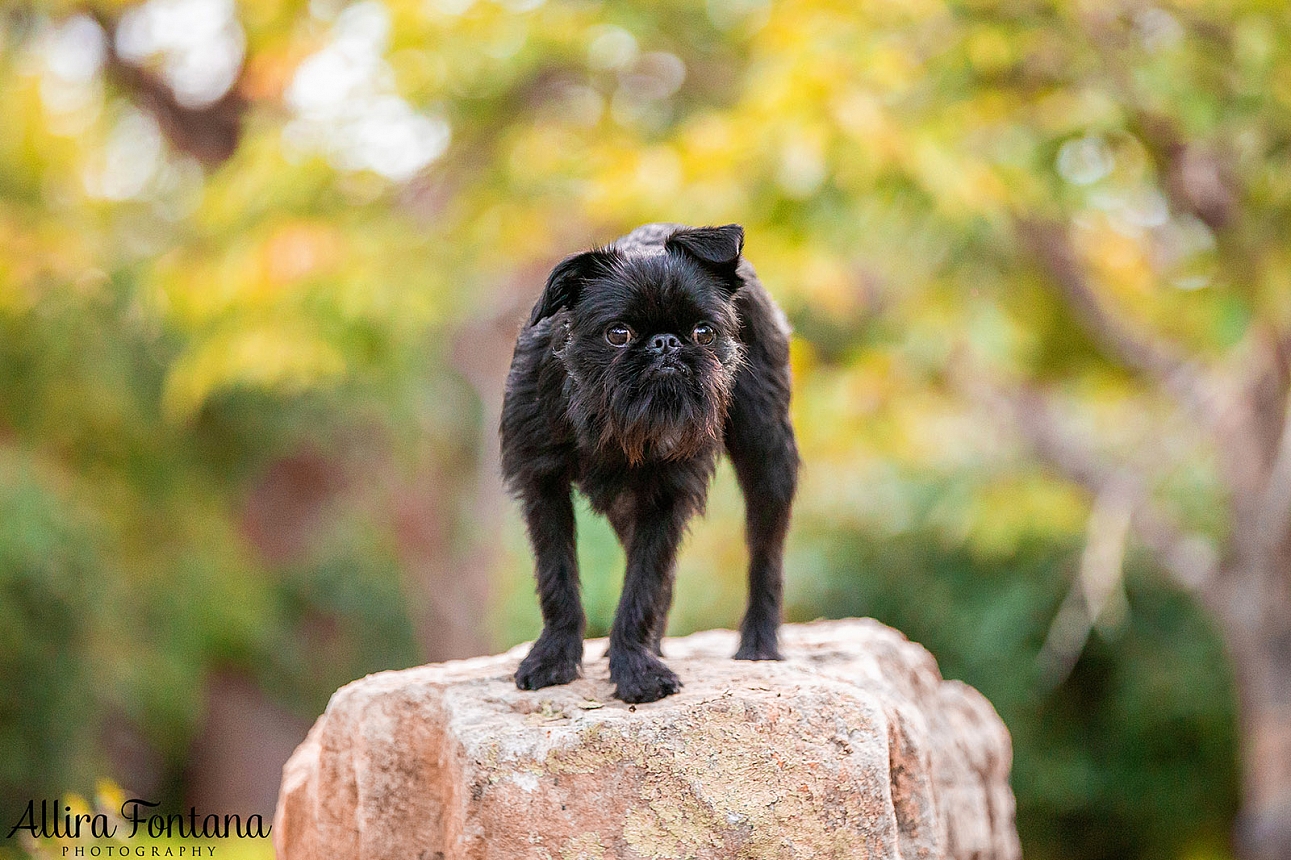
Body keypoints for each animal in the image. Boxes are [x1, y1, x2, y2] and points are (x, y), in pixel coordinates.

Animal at [500, 224, 795, 702]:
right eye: (617, 334)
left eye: (704, 332)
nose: (665, 342)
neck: (608, 420)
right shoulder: (541, 483)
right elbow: (557, 577)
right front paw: (554, 659)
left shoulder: (666, 496)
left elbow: (643, 585)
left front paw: (637, 671)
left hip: (768, 453)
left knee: (766, 552)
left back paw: (760, 643)